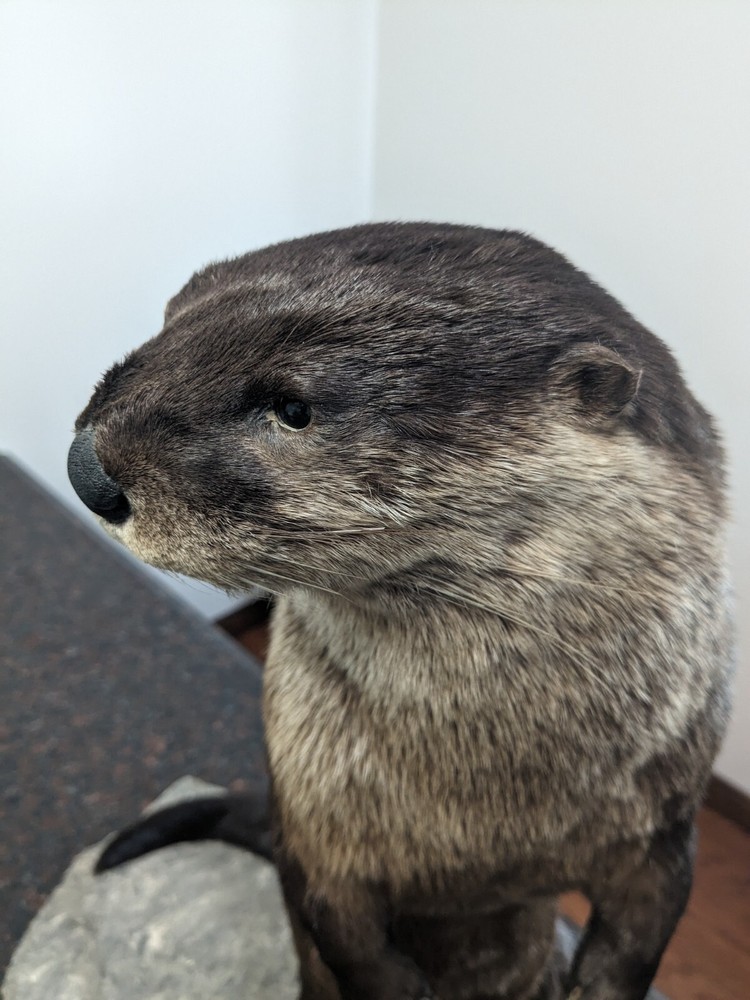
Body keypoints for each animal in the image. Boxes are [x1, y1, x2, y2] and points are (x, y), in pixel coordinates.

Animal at [67, 223, 733, 1000]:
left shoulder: (666, 826)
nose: (86, 469)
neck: (487, 813)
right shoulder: (315, 836)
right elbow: (348, 941)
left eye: (293, 407)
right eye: (168, 320)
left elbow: (637, 943)